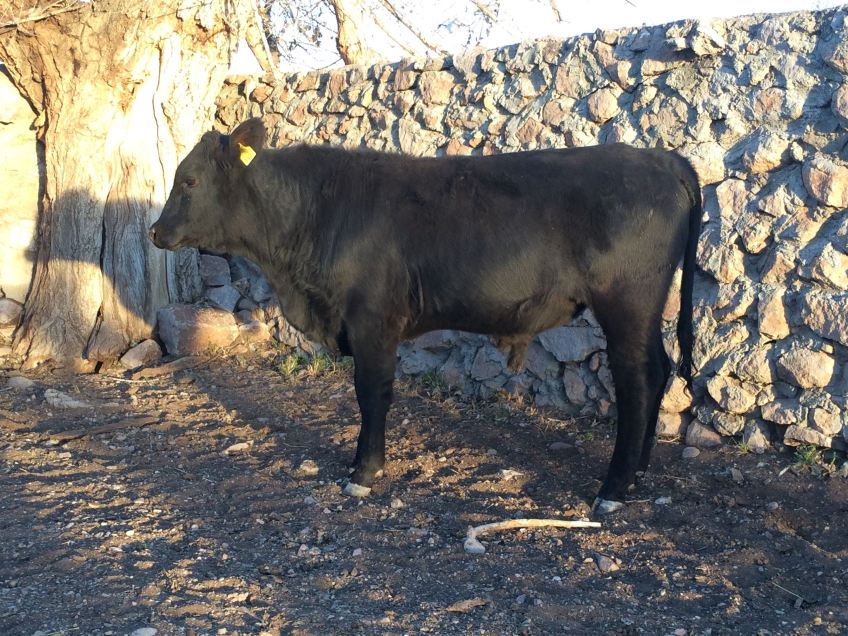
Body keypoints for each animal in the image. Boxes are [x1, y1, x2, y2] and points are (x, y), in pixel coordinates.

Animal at [149, 117, 701, 515]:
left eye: (190, 180)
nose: (155, 231)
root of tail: (660, 157)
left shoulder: (372, 322)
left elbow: (372, 394)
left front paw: (363, 473)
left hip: (626, 302)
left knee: (638, 379)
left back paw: (614, 487)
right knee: (659, 371)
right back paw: (638, 473)